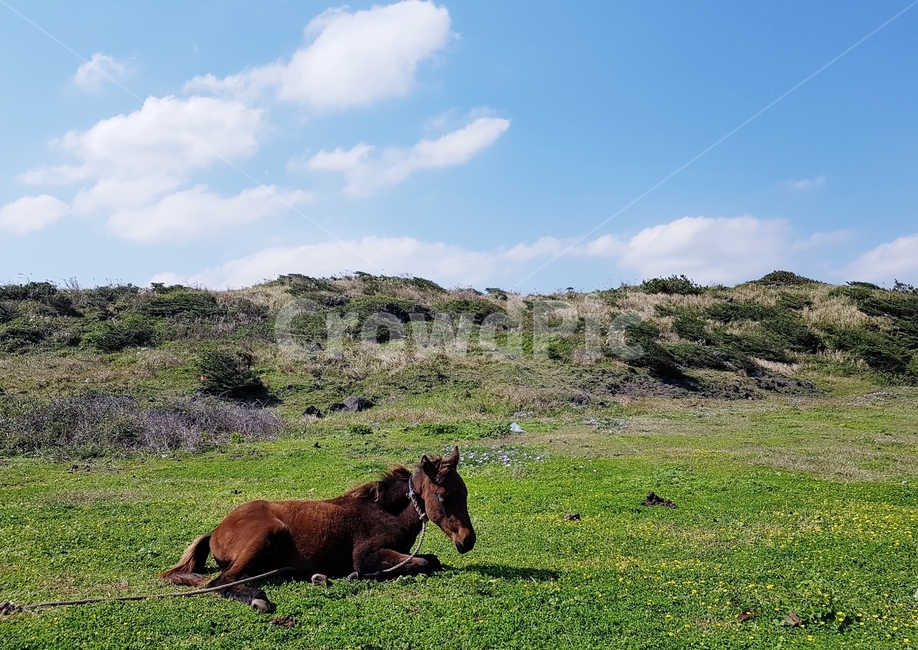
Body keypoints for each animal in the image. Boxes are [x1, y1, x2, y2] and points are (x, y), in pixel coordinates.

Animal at [159, 447, 475, 612]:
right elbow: (420, 563)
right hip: (267, 535)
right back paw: (258, 597)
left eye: (466, 493)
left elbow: (431, 560)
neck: (385, 512)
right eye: (444, 497)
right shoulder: (367, 555)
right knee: (221, 582)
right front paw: (356, 576)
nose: (467, 540)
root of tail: (215, 531)